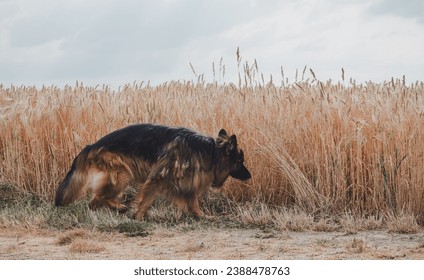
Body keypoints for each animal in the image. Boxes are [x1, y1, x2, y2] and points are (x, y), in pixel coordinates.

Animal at [54, 123, 250, 220]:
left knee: (94, 201)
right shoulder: (158, 178)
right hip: (122, 175)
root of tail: (91, 145)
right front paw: (138, 218)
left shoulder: (185, 182)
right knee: (98, 197)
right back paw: (119, 207)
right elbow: (145, 200)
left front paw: (202, 216)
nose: (250, 176)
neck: (210, 151)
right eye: (240, 161)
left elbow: (193, 201)